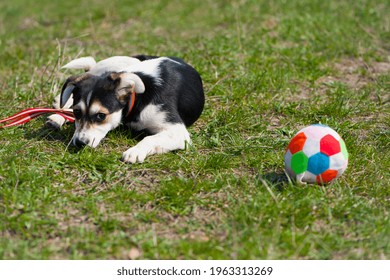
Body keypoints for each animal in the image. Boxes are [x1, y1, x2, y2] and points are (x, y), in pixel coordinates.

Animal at [47, 55, 206, 163]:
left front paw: (135, 151)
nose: (80, 143)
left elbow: (149, 138)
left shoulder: (178, 132)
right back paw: (57, 115)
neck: (138, 98)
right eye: (77, 112)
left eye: (101, 116)